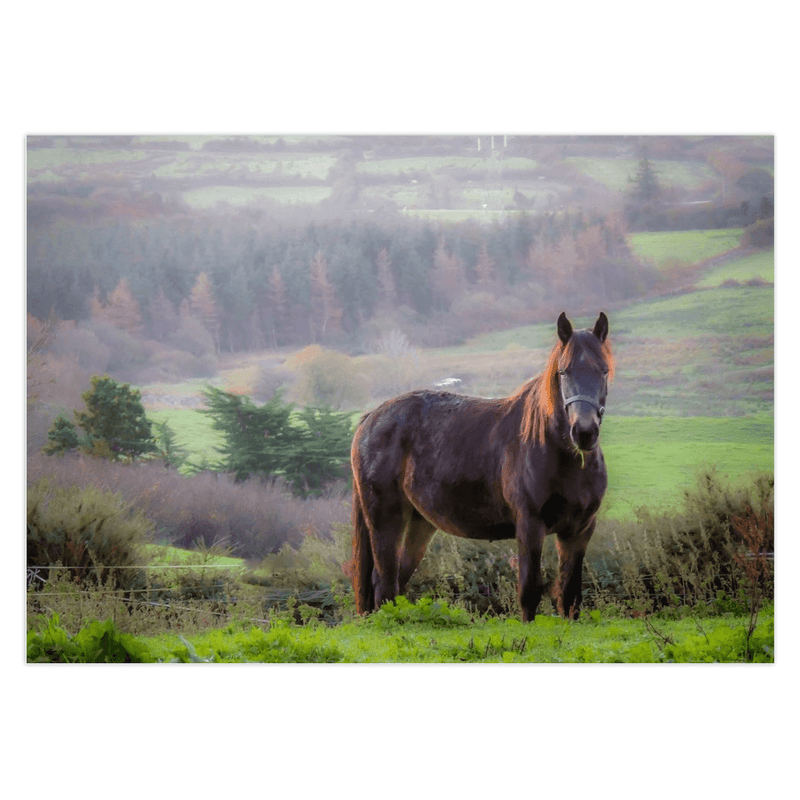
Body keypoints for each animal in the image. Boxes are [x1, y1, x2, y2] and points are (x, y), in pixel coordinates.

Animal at [348, 310, 612, 620]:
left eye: (603, 371)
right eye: (563, 372)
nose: (584, 432)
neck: (561, 458)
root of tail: (371, 418)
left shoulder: (578, 532)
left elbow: (570, 597)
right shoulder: (530, 527)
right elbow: (529, 592)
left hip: (419, 523)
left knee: (397, 581)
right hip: (384, 519)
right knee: (384, 584)